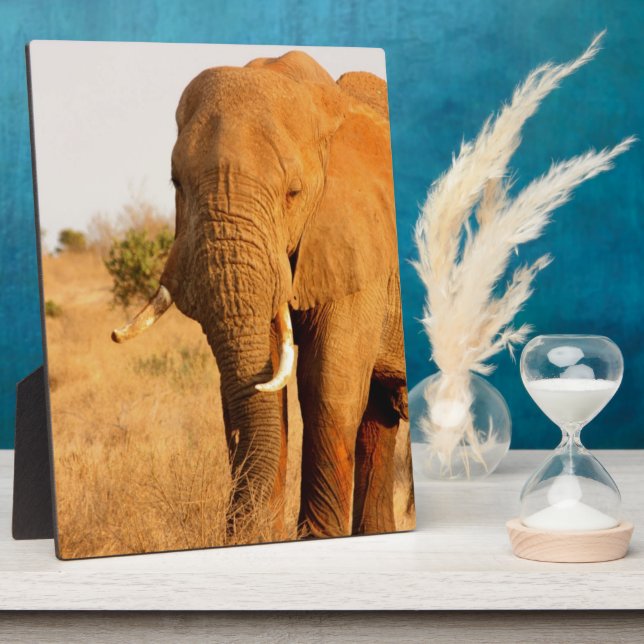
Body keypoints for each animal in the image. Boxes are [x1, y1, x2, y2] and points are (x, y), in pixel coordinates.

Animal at [112, 50, 412, 539]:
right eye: (176, 183)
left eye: (293, 193)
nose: (237, 533)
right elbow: (265, 393)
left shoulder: (362, 248)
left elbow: (327, 391)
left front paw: (314, 539)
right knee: (378, 419)